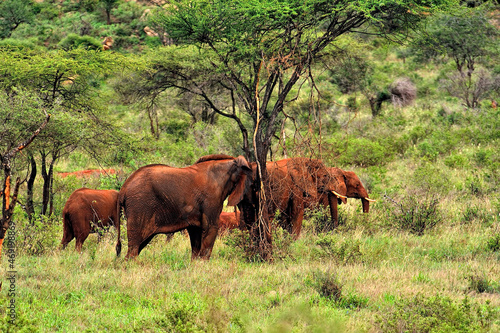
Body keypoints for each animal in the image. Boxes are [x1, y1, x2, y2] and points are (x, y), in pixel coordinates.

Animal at [116, 154, 250, 260]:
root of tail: (123, 189)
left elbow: (196, 235)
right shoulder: (211, 200)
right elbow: (210, 229)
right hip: (139, 206)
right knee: (134, 247)